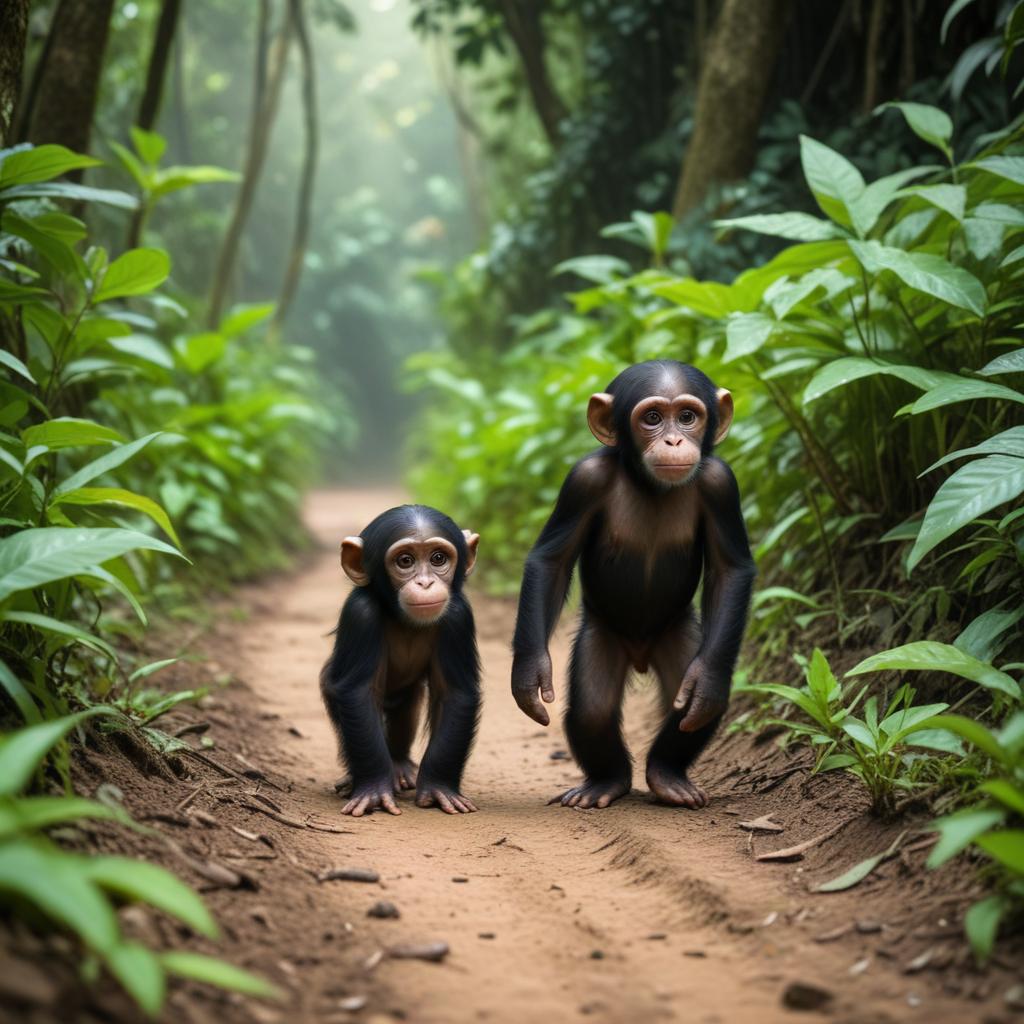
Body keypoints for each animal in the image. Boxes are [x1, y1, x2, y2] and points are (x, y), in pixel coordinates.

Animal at [320, 505, 481, 816]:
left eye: (438, 558)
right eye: (405, 561)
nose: (425, 582)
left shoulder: (459, 617)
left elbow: (454, 694)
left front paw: (439, 787)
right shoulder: (360, 614)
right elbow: (359, 694)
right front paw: (372, 789)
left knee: (407, 707)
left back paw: (399, 765)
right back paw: (356, 779)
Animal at [511, 360, 756, 810]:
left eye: (688, 416)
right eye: (653, 418)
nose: (675, 439)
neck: (649, 485)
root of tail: (640, 655)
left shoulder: (721, 484)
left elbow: (731, 570)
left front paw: (710, 683)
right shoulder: (583, 480)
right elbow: (551, 562)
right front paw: (530, 674)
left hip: (678, 635)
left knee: (688, 708)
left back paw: (668, 775)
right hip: (602, 636)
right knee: (592, 710)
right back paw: (606, 782)